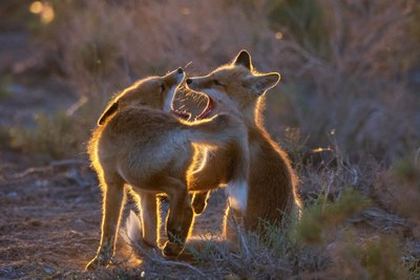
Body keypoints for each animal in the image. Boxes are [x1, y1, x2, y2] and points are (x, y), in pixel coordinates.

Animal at [85, 67, 249, 270]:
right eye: (161, 86)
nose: (180, 70)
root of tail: (181, 128)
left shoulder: (113, 183)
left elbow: (109, 226)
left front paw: (101, 259)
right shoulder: (144, 193)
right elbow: (150, 228)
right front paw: (149, 251)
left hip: (138, 174)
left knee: (178, 190)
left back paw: (172, 232)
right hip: (162, 176)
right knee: (187, 206)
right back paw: (175, 244)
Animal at [186, 50, 302, 241]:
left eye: (217, 82)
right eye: (210, 75)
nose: (188, 80)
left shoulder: (216, 167)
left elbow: (195, 179)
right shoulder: (209, 161)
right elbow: (202, 187)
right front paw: (198, 202)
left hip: (231, 210)